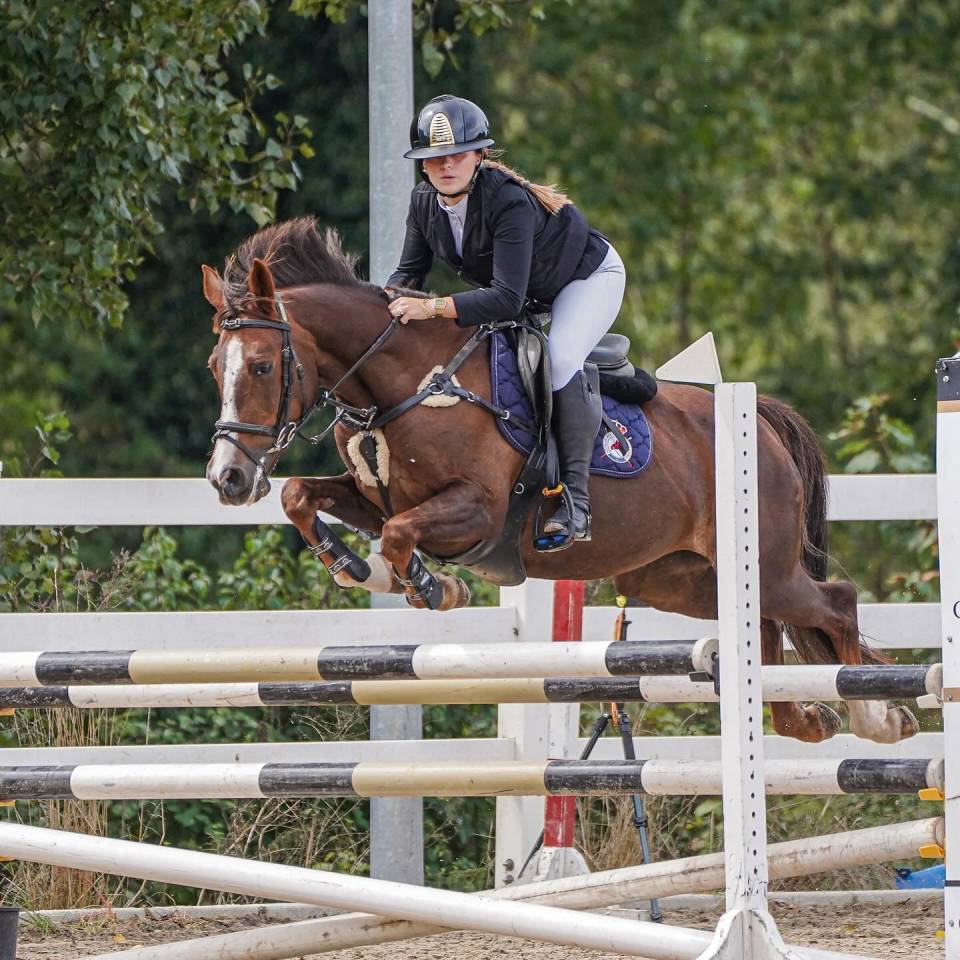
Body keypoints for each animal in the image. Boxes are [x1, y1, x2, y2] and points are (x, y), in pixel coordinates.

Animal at [202, 217, 917, 746]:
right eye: (215, 365)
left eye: (262, 366)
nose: (227, 478)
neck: (411, 381)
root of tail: (761, 421)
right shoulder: (378, 499)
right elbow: (305, 496)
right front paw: (356, 567)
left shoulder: (477, 512)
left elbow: (404, 537)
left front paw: (435, 587)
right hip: (678, 577)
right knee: (763, 626)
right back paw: (804, 718)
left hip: (765, 562)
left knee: (835, 600)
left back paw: (878, 717)